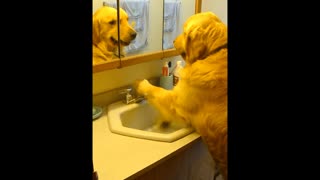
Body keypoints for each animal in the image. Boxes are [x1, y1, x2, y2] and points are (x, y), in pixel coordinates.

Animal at [136, 11, 229, 179]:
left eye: (185, 32)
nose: (172, 40)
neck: (214, 52)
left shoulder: (177, 104)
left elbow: (158, 91)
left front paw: (142, 84)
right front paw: (162, 122)